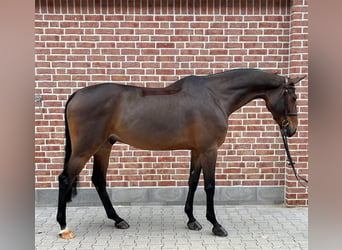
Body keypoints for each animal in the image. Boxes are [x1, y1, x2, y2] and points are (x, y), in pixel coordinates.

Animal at [56, 68, 304, 238]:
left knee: (98, 180)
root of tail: (77, 94)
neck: (215, 96)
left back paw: (118, 219)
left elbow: (193, 182)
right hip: (84, 149)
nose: (292, 130)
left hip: (104, 147)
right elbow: (210, 186)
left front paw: (192, 220)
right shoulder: (209, 150)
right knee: (65, 178)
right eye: (293, 97)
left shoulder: (197, 150)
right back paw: (64, 226)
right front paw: (216, 224)